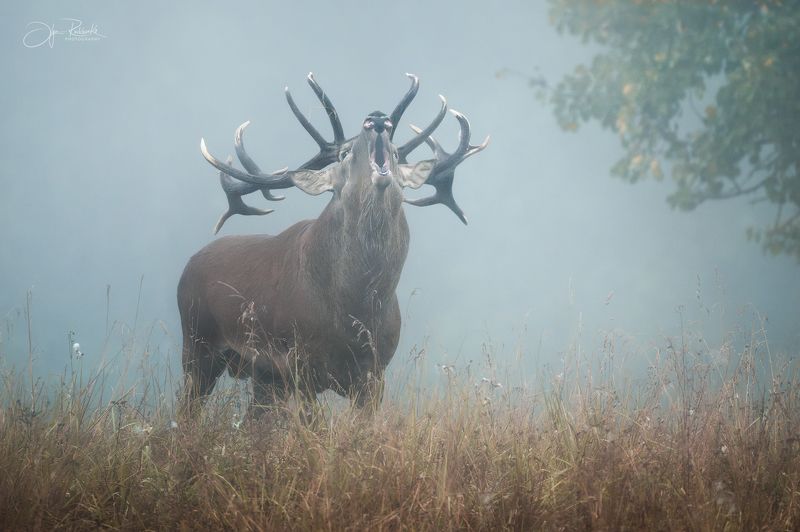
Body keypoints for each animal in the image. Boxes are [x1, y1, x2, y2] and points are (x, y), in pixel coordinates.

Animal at [178, 73, 487, 419]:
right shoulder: (297, 362)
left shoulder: (375, 370)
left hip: (263, 375)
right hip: (197, 342)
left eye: (396, 153)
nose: (377, 118)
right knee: (187, 409)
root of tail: (189, 265)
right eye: (343, 154)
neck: (353, 311)